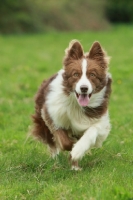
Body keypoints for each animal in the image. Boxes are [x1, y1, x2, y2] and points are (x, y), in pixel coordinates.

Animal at [31, 40, 111, 170]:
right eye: (75, 74)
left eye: (92, 75)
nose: (84, 88)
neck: (77, 104)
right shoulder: (52, 113)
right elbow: (63, 140)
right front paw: (72, 146)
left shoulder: (100, 120)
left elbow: (91, 132)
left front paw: (77, 151)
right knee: (51, 142)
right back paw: (56, 159)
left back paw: (75, 167)